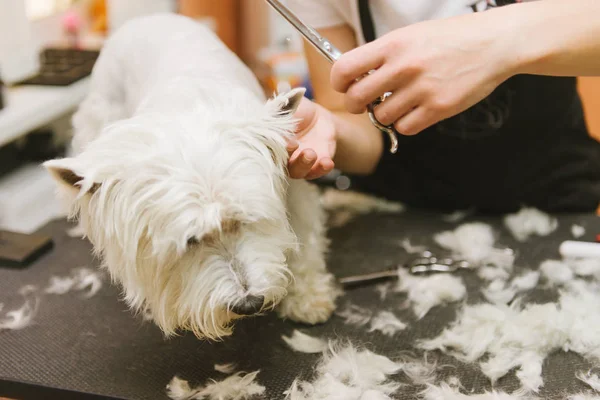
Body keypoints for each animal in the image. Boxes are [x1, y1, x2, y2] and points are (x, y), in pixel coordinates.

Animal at [44, 14, 340, 340]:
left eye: (247, 220)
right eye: (190, 240)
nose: (249, 303)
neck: (189, 110)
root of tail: (146, 17)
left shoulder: (292, 176)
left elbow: (304, 234)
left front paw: (307, 296)